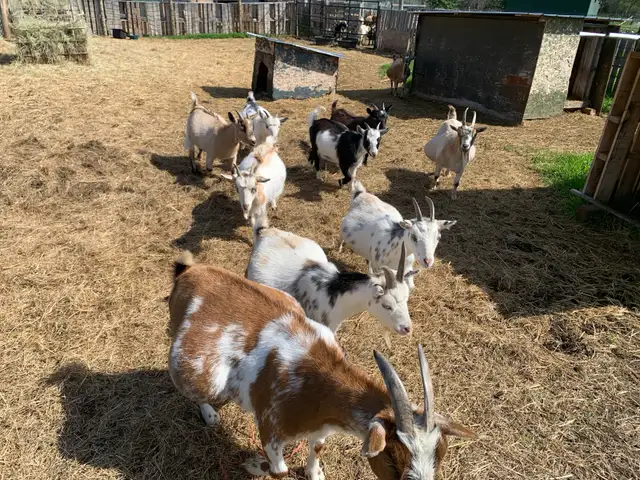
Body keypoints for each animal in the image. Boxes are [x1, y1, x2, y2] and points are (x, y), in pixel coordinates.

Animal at [168, 252, 477, 480]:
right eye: (392, 456)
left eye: (439, 456)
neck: (314, 384)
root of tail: (189, 271)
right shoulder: (270, 429)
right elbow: (279, 471)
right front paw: (255, 465)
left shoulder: (323, 424)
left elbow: (317, 445)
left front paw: (314, 472)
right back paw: (210, 413)